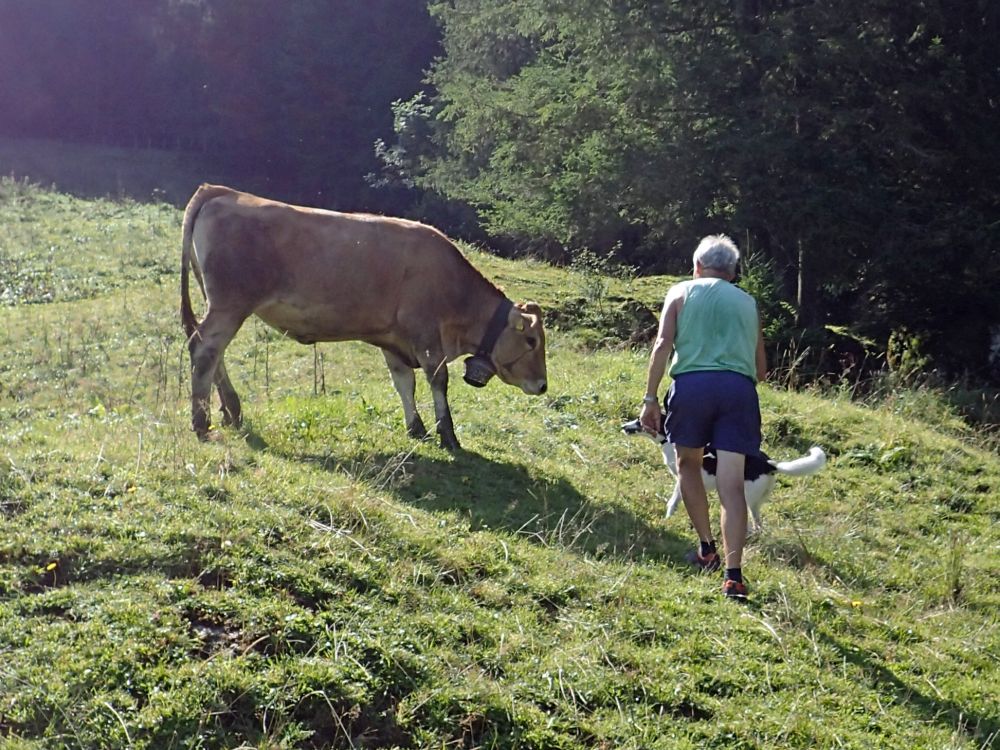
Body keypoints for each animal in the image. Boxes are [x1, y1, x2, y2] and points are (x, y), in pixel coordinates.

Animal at [176, 184, 544, 450]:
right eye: (531, 340)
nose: (542, 385)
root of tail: (222, 191)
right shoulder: (426, 335)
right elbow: (438, 380)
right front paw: (449, 436)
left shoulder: (392, 338)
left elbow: (403, 382)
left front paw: (417, 428)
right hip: (230, 304)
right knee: (205, 349)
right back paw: (202, 424)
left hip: (220, 303)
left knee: (213, 352)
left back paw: (231, 412)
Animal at [624, 418, 828, 536]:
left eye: (639, 422)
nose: (623, 426)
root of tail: (769, 463)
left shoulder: (683, 478)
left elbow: (673, 501)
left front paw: (668, 518)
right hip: (755, 503)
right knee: (758, 525)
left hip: (746, 498)